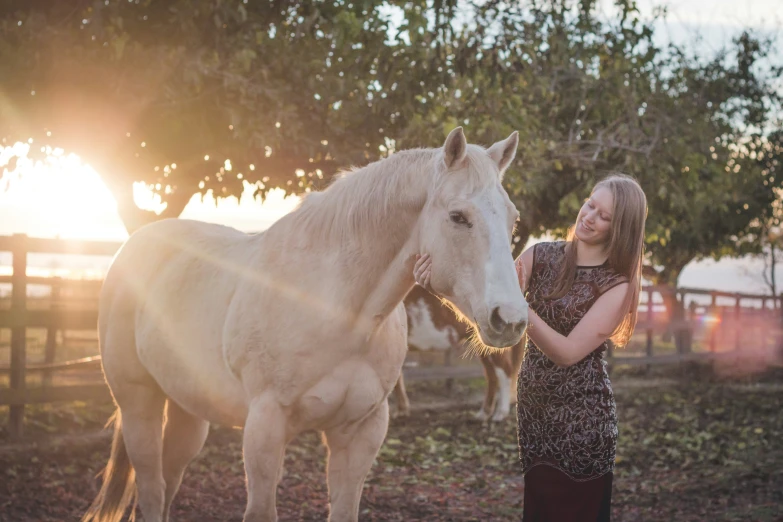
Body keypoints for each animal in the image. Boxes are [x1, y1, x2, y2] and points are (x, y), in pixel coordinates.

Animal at [396, 286, 524, 420]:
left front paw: (401, 410)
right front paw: (402, 409)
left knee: (504, 371)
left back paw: (500, 414)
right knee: (491, 374)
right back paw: (484, 413)